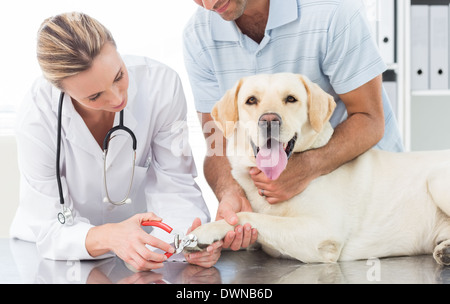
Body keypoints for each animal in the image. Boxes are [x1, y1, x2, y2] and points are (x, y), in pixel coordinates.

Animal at [188, 72, 450, 264]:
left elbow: (247, 216)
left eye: (291, 99)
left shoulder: (321, 232)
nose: (269, 121)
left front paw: (203, 232)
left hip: (437, 181)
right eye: (251, 100)